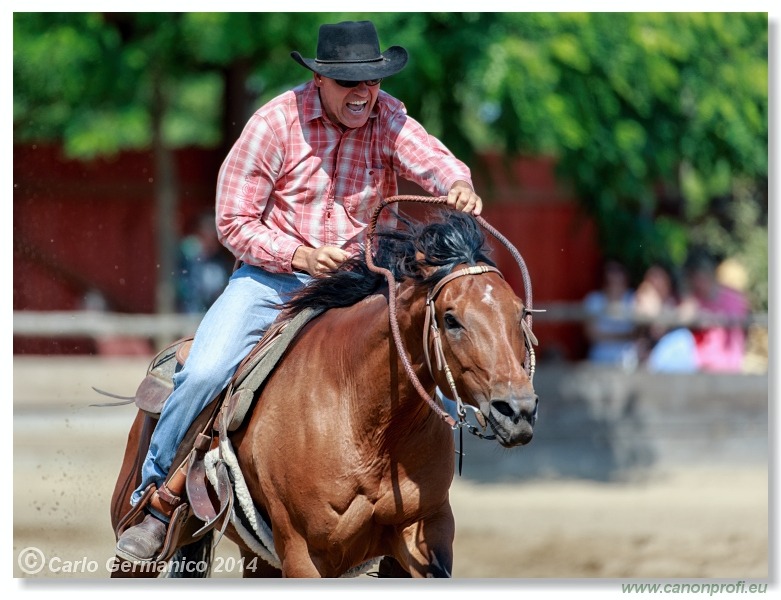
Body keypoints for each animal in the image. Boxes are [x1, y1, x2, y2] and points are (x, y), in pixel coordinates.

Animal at [108, 199, 536, 580]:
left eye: (520, 313)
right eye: (451, 319)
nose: (517, 411)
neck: (366, 421)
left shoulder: (424, 534)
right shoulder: (303, 553)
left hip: (260, 557)